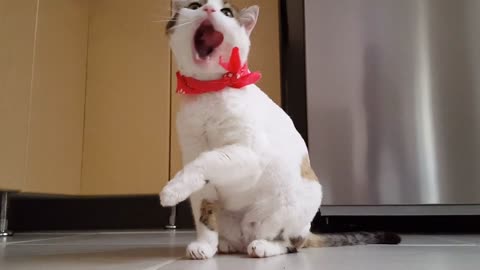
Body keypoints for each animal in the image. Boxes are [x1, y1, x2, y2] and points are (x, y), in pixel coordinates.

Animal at [159, 0, 400, 260]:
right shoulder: (195, 157)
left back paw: (264, 246)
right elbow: (205, 211)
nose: (209, 10)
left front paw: (171, 190)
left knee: (291, 243)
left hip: (293, 206)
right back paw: (225, 243)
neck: (209, 91)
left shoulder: (248, 154)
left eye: (226, 12)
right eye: (195, 5)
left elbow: (208, 159)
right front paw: (204, 245)